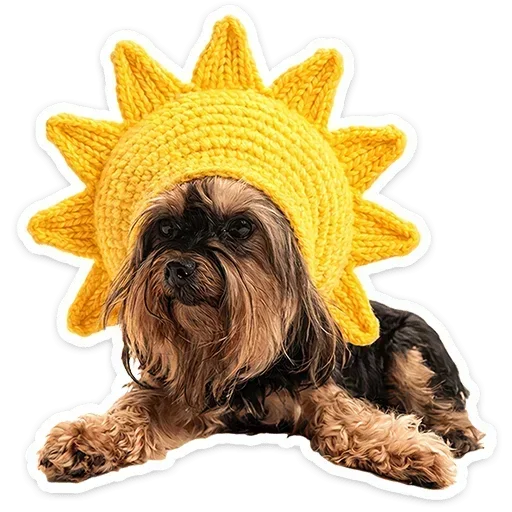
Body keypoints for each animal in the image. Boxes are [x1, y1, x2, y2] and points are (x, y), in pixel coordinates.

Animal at [38, 177, 483, 488]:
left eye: (239, 227)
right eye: (165, 229)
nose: (178, 266)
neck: (230, 349)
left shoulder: (320, 387)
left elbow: (350, 421)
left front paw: (413, 451)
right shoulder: (177, 392)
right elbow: (135, 409)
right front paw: (85, 439)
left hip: (412, 347)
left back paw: (454, 432)